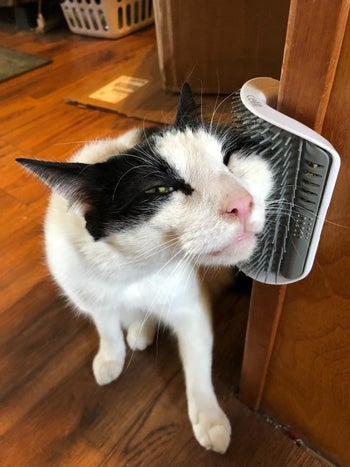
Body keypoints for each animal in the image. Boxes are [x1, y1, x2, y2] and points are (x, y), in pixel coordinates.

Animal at [17, 83, 274, 454]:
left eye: (227, 160)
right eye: (160, 189)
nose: (242, 203)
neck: (134, 269)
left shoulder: (189, 309)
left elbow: (197, 362)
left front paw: (208, 416)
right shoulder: (91, 294)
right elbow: (106, 327)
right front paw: (110, 358)